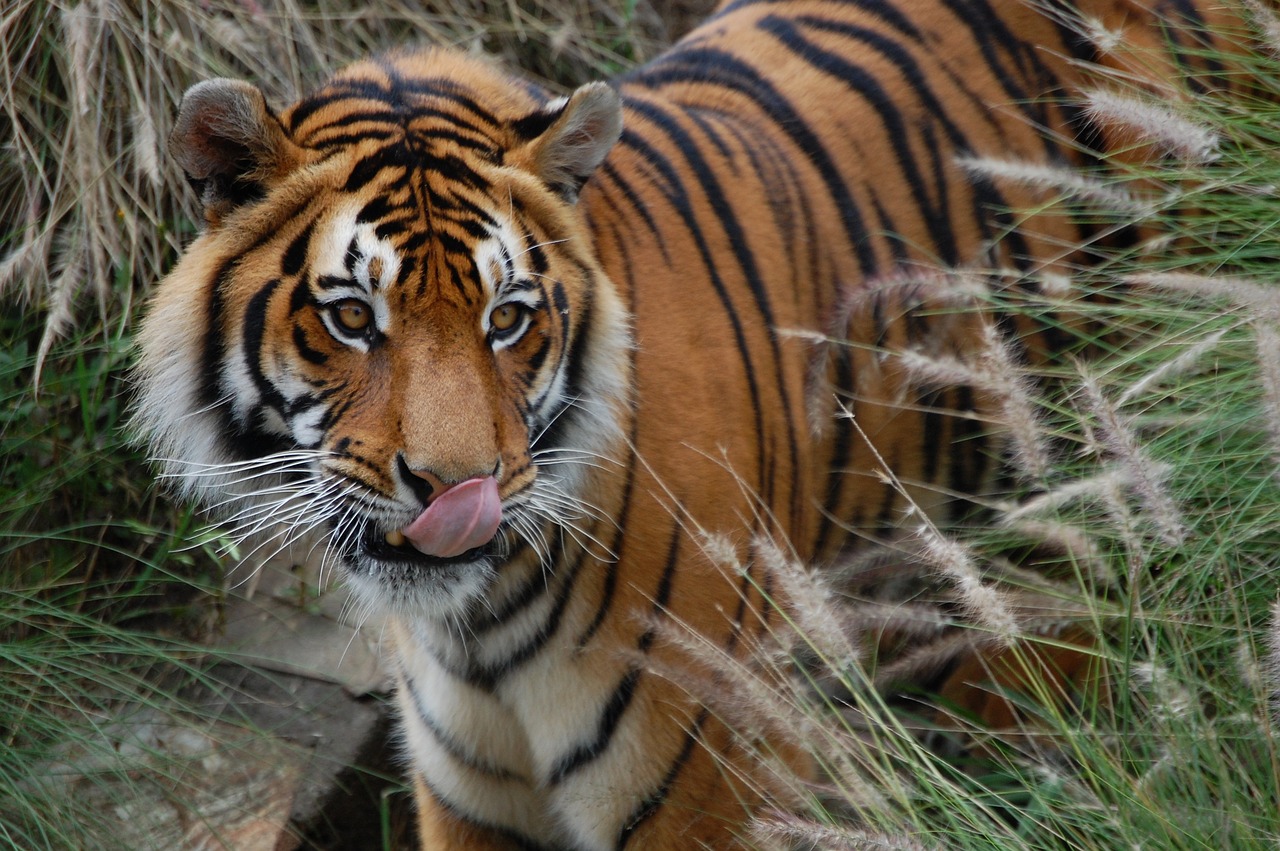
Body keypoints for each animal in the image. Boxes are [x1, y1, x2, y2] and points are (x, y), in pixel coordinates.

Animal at [132, 0, 1239, 844]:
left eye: (507, 319)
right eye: (354, 318)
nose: (459, 490)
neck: (478, 629)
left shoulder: (707, 785)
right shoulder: (472, 800)